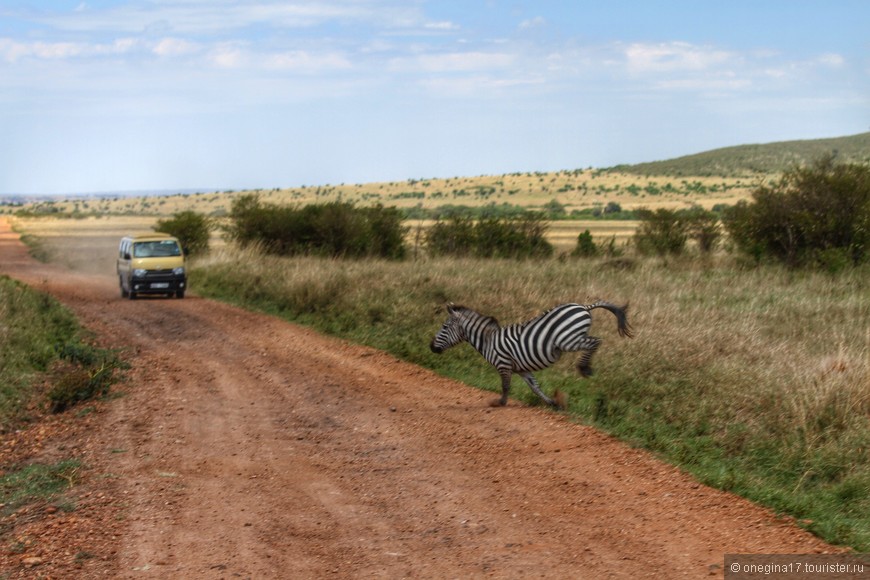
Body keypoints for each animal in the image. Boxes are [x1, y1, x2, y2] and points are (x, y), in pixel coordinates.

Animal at [430, 302, 632, 410]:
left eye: (445, 327)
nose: (431, 347)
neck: (488, 341)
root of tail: (583, 306)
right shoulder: (522, 369)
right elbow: (535, 387)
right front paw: (553, 403)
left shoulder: (504, 364)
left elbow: (505, 386)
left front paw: (500, 402)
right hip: (572, 338)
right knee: (595, 341)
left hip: (568, 339)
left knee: (595, 341)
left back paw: (585, 368)